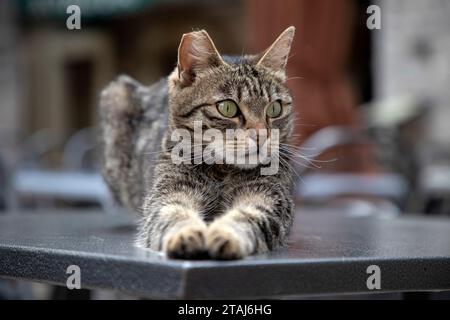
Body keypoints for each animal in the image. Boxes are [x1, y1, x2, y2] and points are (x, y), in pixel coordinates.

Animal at [99, 26, 296, 258]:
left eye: (275, 108)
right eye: (227, 108)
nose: (262, 135)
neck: (223, 171)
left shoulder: (270, 197)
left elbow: (250, 216)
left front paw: (226, 234)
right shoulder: (168, 191)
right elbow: (172, 212)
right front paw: (186, 234)